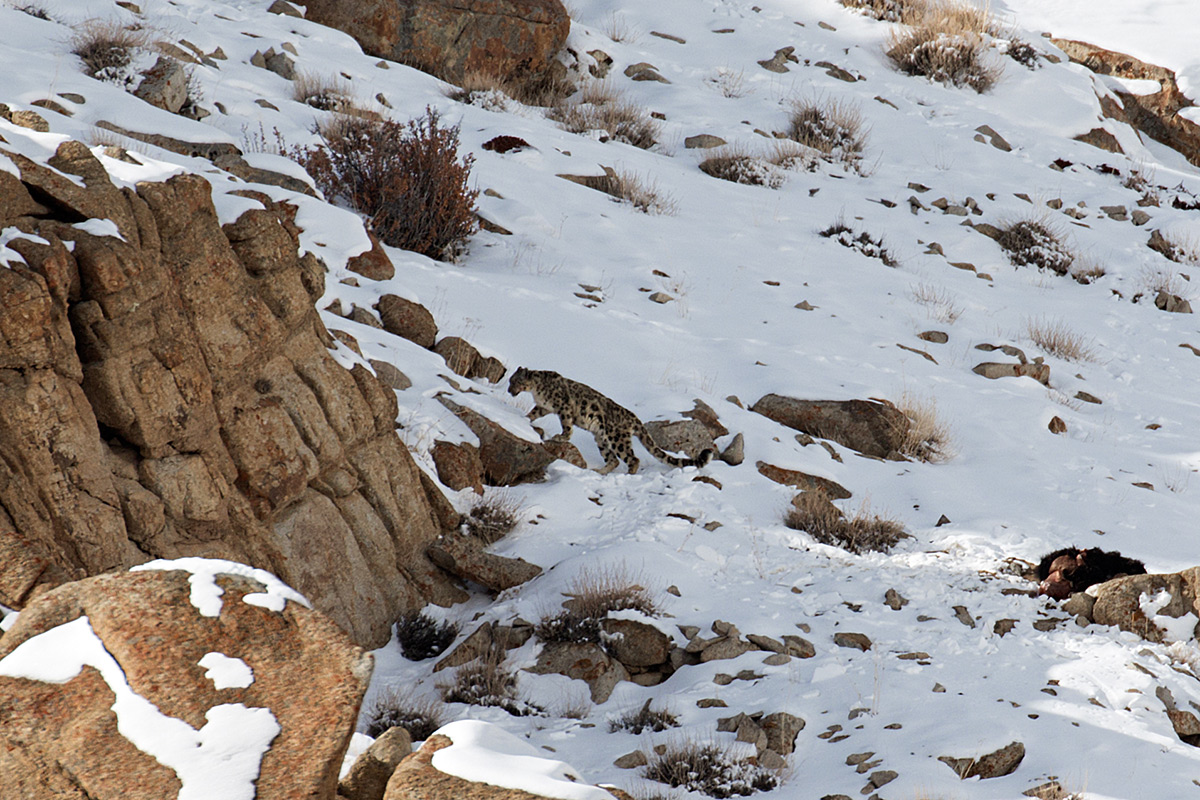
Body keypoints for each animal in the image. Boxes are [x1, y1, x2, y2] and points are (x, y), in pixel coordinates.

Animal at [507, 367, 715, 475]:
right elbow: (533, 413)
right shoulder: (543, 407)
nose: (509, 390)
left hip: (617, 438)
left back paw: (629, 474)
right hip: (601, 438)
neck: (536, 391)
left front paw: (561, 437)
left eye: (514, 381)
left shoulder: (563, 408)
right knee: (613, 459)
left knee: (632, 458)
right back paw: (599, 471)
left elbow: (567, 426)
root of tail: (634, 418)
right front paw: (523, 419)